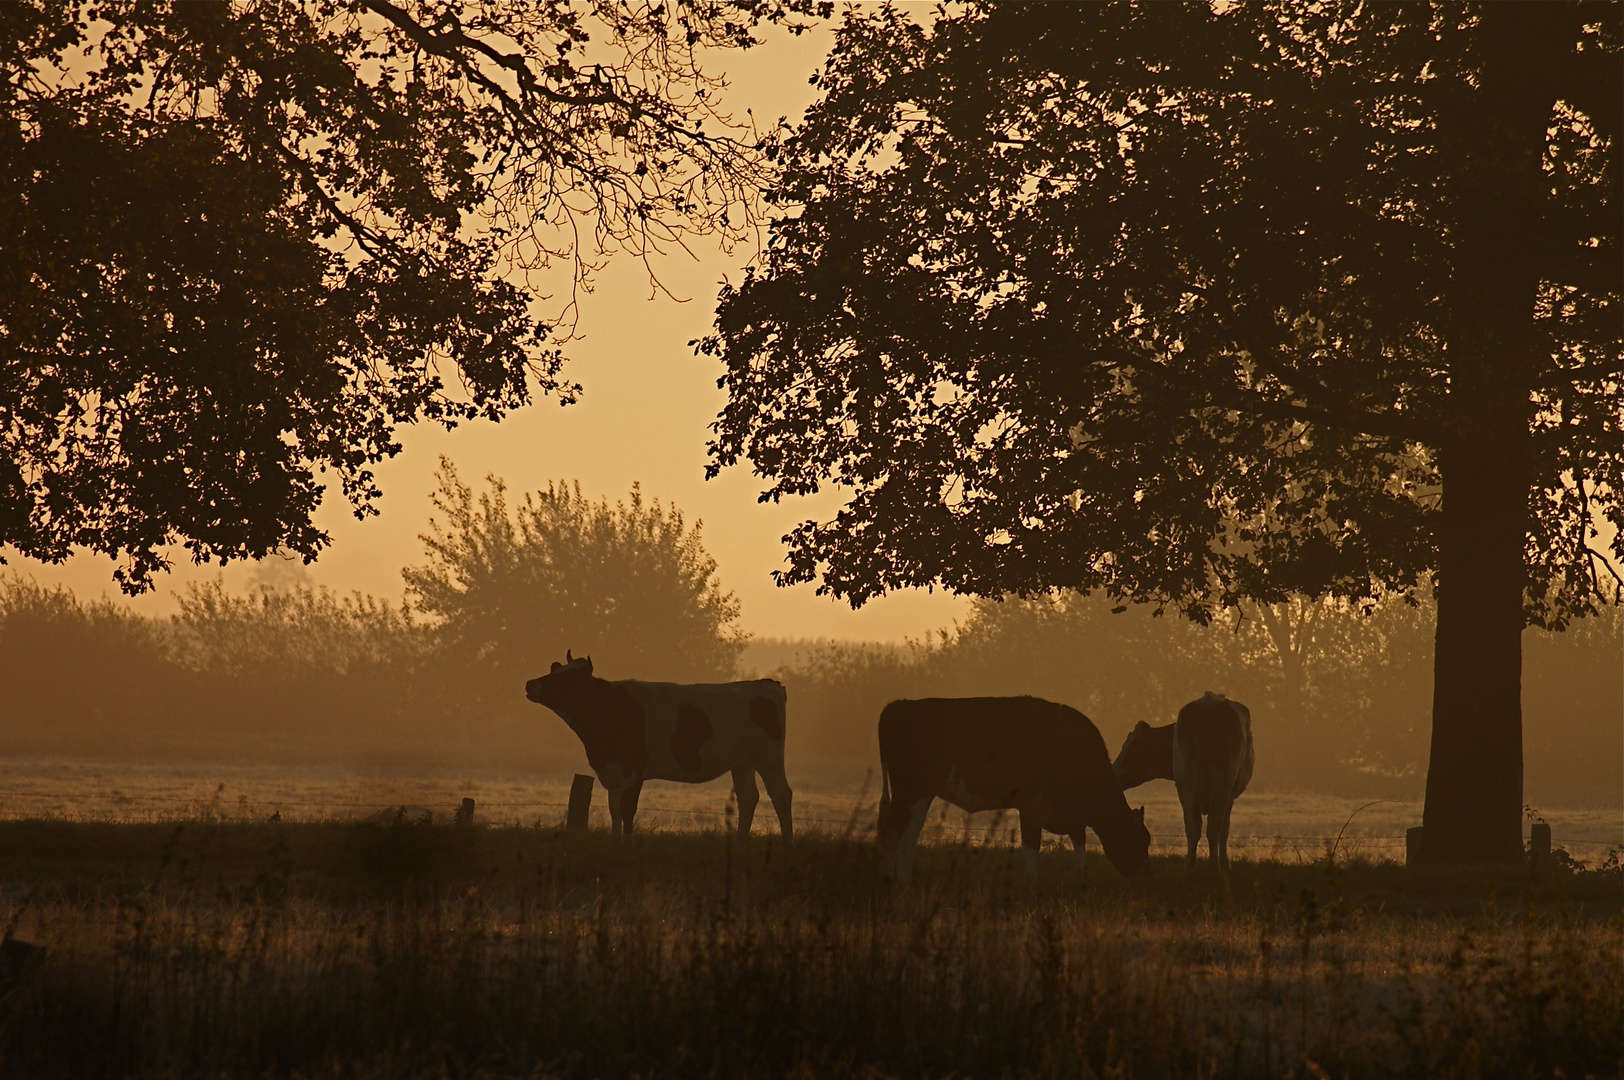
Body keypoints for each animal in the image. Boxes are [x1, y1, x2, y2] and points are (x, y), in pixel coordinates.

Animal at [526, 649, 792, 844]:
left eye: (567, 678)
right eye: (554, 668)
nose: (530, 684)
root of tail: (768, 684)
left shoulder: (633, 771)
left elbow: (627, 809)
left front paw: (626, 844)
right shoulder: (614, 771)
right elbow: (614, 809)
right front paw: (614, 840)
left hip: (769, 758)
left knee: (781, 795)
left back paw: (787, 843)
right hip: (742, 763)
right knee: (748, 798)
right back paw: (738, 843)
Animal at [876, 698, 1156, 883]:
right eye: (1141, 839)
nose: (1145, 877)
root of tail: (897, 705)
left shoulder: (1067, 813)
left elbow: (1077, 839)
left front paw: (1081, 876)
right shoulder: (1032, 804)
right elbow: (1032, 843)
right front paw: (1032, 882)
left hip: (917, 794)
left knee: (901, 834)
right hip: (912, 792)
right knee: (896, 835)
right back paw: (896, 882)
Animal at [1117, 691, 1253, 876]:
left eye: (1135, 748)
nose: (1113, 771)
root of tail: (1207, 703)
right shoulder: (1230, 795)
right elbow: (1224, 830)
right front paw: (1225, 864)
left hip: (1187, 783)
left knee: (1192, 826)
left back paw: (1190, 866)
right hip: (1221, 783)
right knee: (1213, 827)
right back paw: (1213, 867)